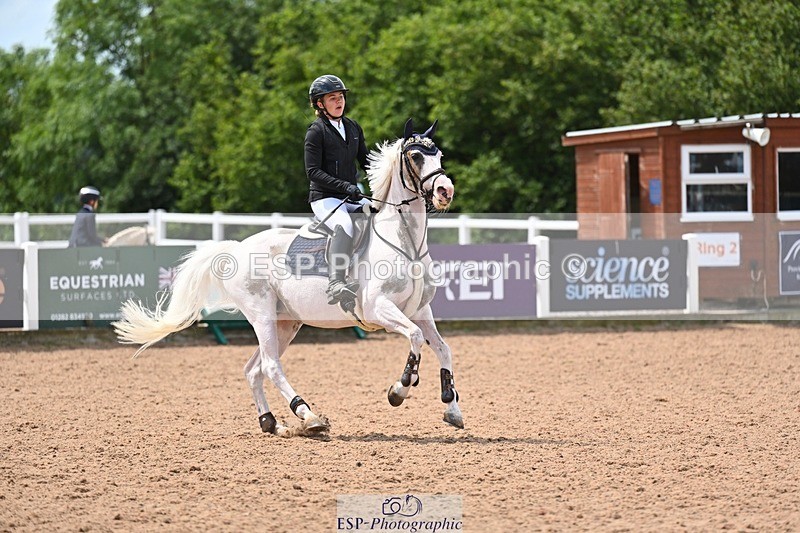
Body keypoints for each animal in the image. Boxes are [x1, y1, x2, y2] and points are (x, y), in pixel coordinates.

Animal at [113, 119, 462, 437]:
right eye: (416, 156)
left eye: (439, 154)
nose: (445, 191)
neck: (404, 242)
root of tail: (237, 248)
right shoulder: (380, 308)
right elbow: (414, 338)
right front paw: (399, 389)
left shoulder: (420, 311)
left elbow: (443, 348)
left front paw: (451, 406)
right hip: (262, 316)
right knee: (270, 366)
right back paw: (309, 416)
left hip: (285, 323)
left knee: (253, 369)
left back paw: (271, 423)